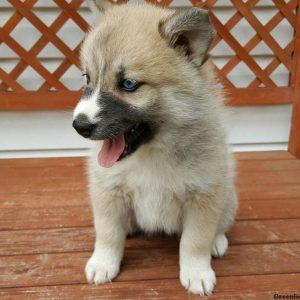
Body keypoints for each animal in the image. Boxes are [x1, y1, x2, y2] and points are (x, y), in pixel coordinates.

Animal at [72, 0, 237, 296]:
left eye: (128, 84)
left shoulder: (204, 197)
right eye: (87, 78)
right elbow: (107, 234)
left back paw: (218, 242)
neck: (151, 153)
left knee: (220, 225)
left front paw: (197, 273)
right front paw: (103, 263)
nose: (79, 125)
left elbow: (195, 241)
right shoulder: (108, 191)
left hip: (228, 196)